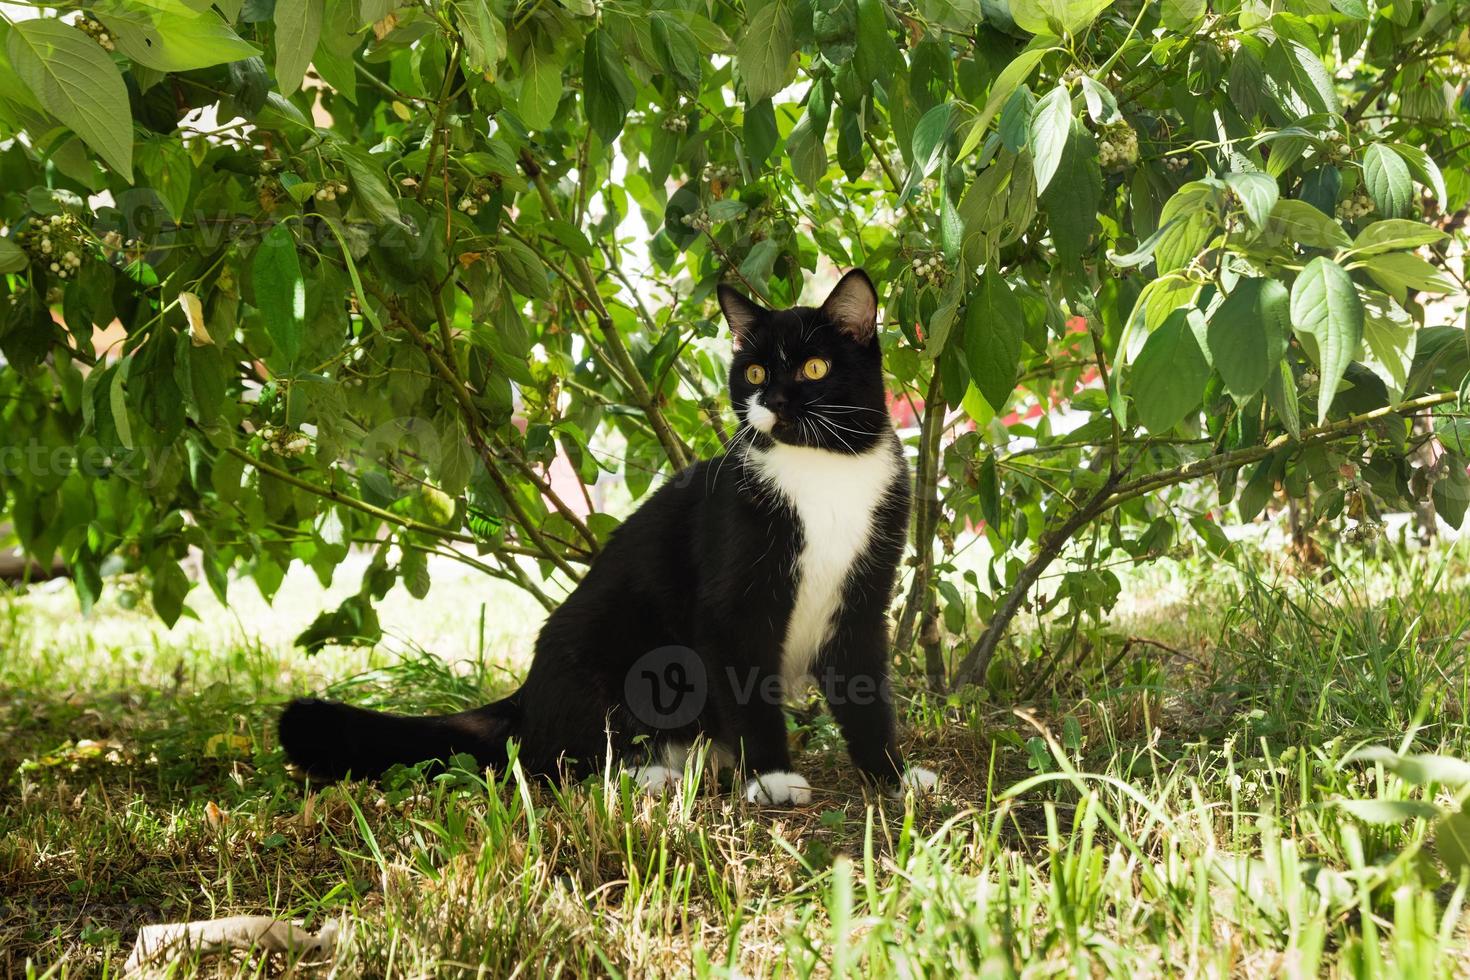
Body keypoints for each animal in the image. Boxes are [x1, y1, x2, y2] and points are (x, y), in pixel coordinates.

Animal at [280, 270, 934, 805]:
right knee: (552, 760)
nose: (770, 400)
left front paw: (892, 776)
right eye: (753, 372)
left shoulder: (863, 598)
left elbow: (865, 692)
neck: (823, 472)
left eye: (814, 368)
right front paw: (772, 776)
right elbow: (748, 690)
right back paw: (648, 772)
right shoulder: (732, 603)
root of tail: (525, 697)